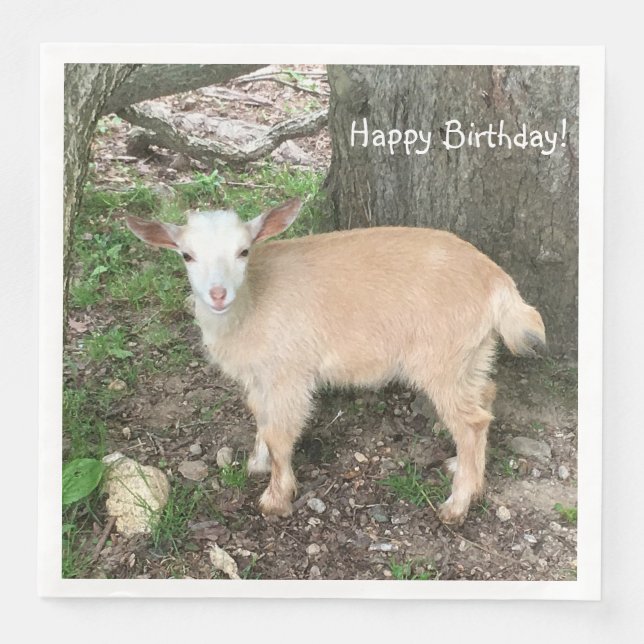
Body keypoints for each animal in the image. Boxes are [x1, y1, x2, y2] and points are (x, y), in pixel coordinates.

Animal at [126, 198, 545, 525]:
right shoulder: (261, 376)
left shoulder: (289, 373)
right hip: (472, 353)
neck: (251, 304)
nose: (217, 294)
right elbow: (260, 414)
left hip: (442, 357)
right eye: (186, 255)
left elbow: (280, 433)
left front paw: (276, 498)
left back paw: (457, 505)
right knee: (485, 400)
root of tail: (498, 285)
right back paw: (464, 469)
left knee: (470, 422)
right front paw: (257, 462)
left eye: (244, 251)